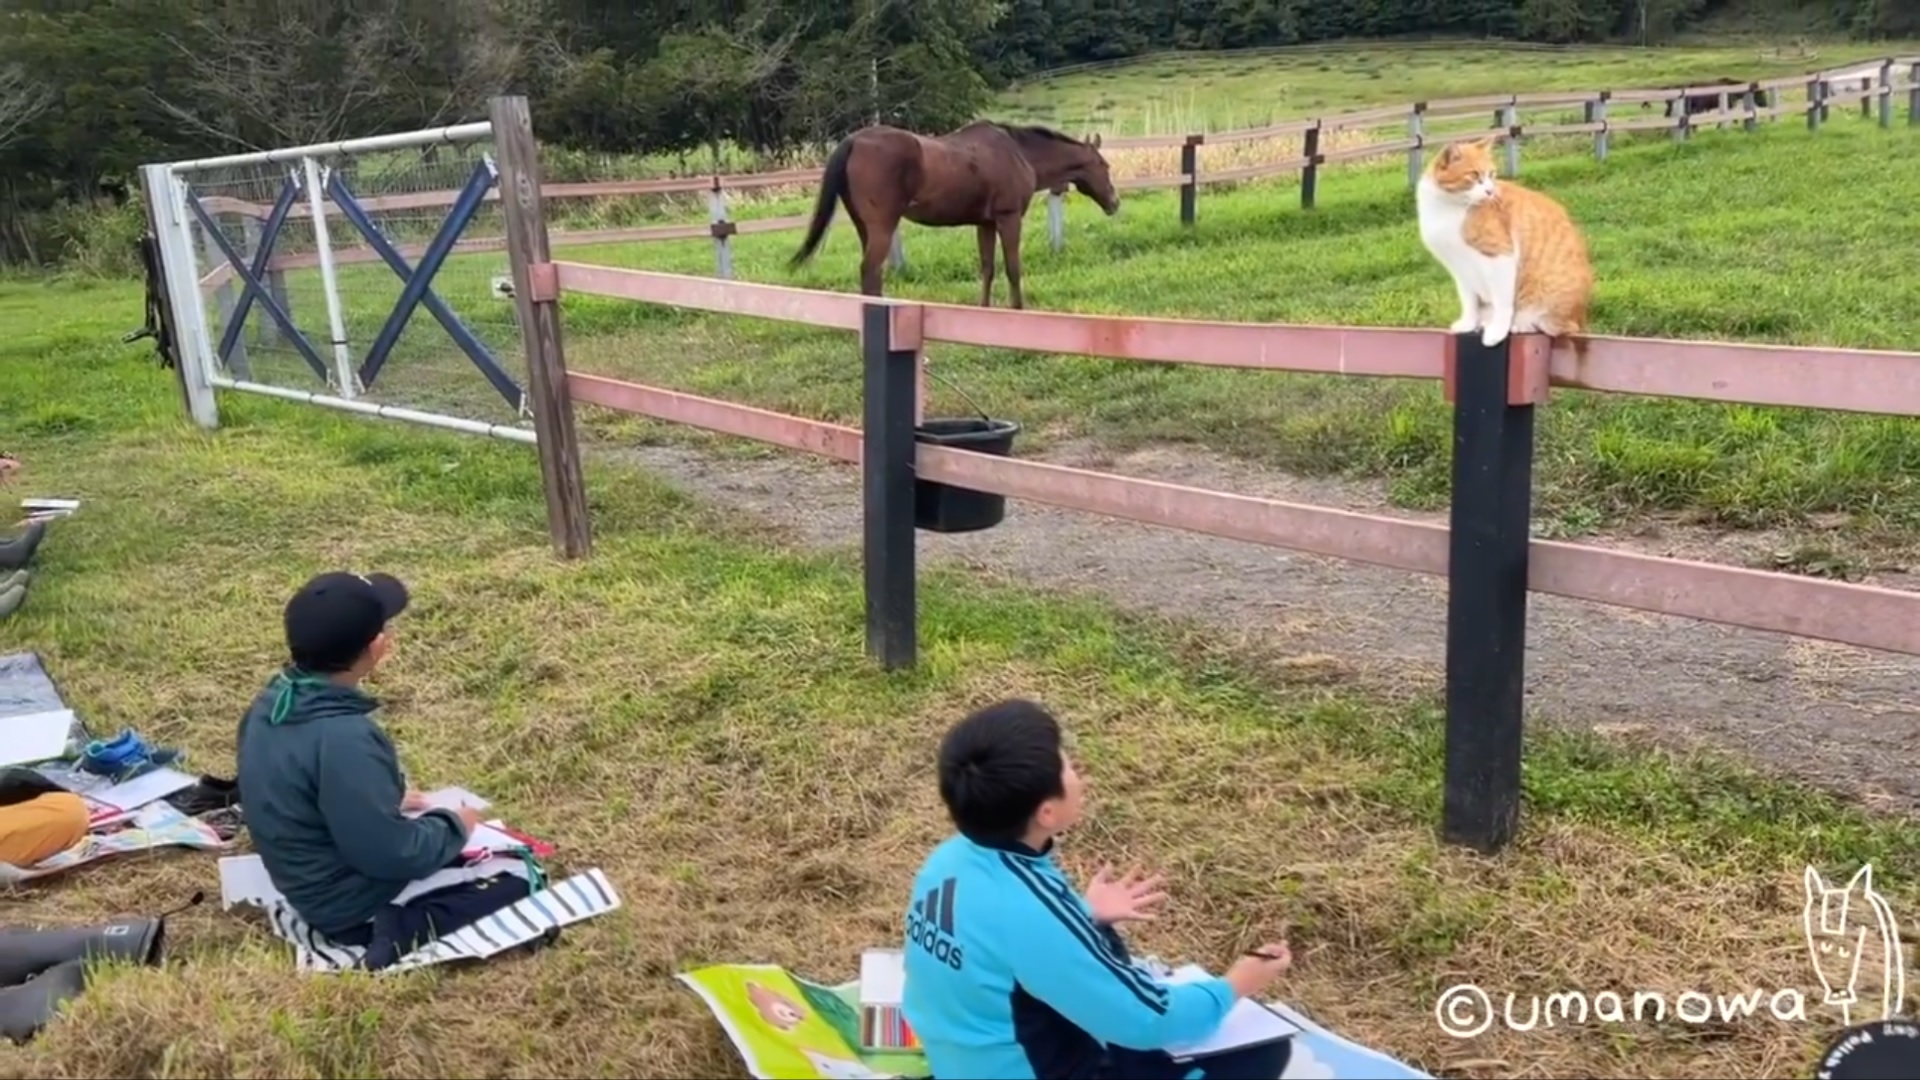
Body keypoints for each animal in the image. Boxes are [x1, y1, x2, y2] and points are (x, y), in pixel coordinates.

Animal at [787, 121, 1121, 307]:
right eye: (1104, 165)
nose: (1114, 203)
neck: (1019, 152)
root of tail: (853, 141)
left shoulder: (985, 223)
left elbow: (987, 268)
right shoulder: (1008, 218)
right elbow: (1013, 268)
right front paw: (1018, 310)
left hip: (864, 228)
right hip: (882, 227)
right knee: (870, 272)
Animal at [1420, 134, 1597, 351]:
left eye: (1492, 174)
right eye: (1474, 175)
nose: (1490, 191)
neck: (1448, 206)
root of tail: (1582, 315)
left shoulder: (1500, 255)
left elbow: (1502, 303)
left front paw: (1497, 331)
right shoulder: (1460, 269)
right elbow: (1469, 302)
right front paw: (1468, 324)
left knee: (1556, 327)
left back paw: (1519, 325)